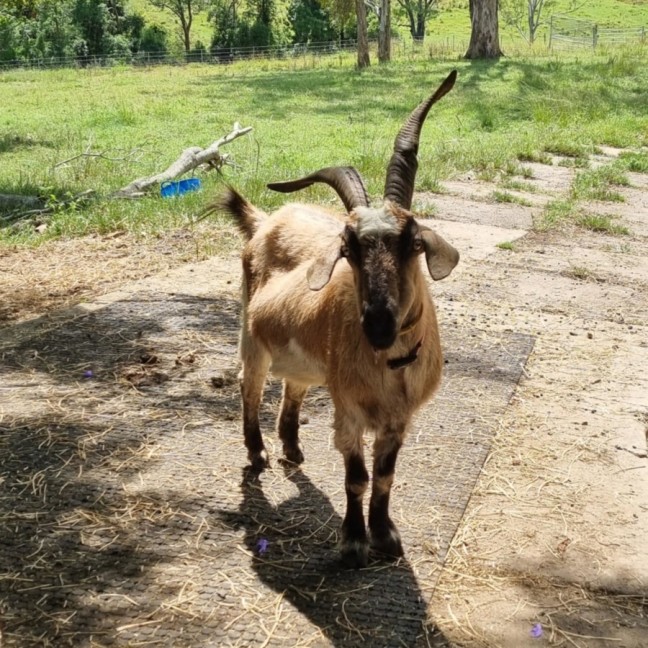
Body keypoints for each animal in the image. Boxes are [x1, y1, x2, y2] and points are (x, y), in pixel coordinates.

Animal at [213, 70, 459, 568]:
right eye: (348, 249)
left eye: (413, 242)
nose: (379, 324)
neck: (391, 366)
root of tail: (264, 221)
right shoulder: (348, 410)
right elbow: (357, 476)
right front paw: (353, 542)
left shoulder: (398, 421)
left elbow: (384, 477)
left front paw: (385, 536)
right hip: (252, 338)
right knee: (250, 390)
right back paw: (259, 454)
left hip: (307, 361)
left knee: (293, 389)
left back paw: (291, 448)